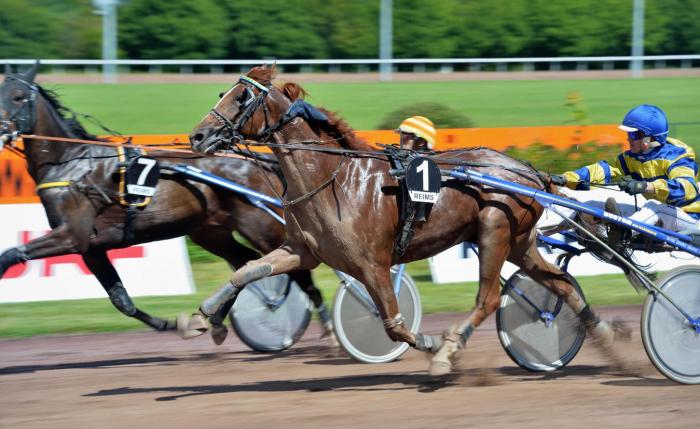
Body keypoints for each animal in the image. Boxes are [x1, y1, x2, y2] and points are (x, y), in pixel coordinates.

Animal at [0, 63, 334, 344]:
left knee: (297, 271)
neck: (70, 163)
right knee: (245, 263)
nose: (2, 130)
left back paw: (326, 327)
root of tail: (262, 160)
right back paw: (216, 322)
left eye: (17, 97)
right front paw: (170, 323)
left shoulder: (71, 235)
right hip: (210, 232)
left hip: (260, 225)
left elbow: (10, 254)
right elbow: (121, 300)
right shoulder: (90, 247)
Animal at [183, 65, 628, 376]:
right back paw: (608, 340)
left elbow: (394, 324)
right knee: (562, 283)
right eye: (224, 91)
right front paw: (202, 320)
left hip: (494, 232)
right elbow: (247, 271)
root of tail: (531, 172)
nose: (197, 137)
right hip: (519, 242)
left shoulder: (372, 264)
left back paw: (449, 351)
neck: (333, 178)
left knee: (487, 300)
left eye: (241, 97)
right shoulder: (302, 250)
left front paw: (433, 344)